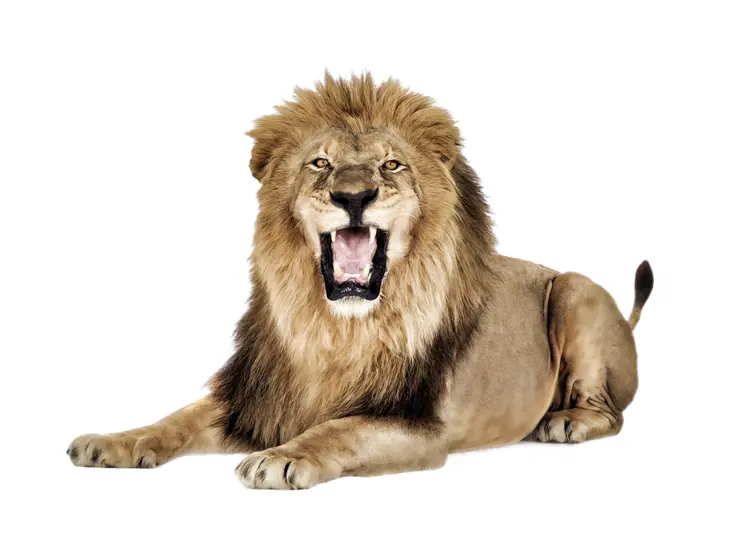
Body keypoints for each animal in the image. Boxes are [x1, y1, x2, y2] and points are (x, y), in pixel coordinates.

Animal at [67, 73, 653, 489]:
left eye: (391, 165)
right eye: (319, 164)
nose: (353, 196)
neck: (335, 329)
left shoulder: (419, 425)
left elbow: (339, 427)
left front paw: (281, 457)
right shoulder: (256, 398)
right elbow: (176, 418)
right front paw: (111, 442)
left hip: (576, 290)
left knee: (613, 413)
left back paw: (564, 422)